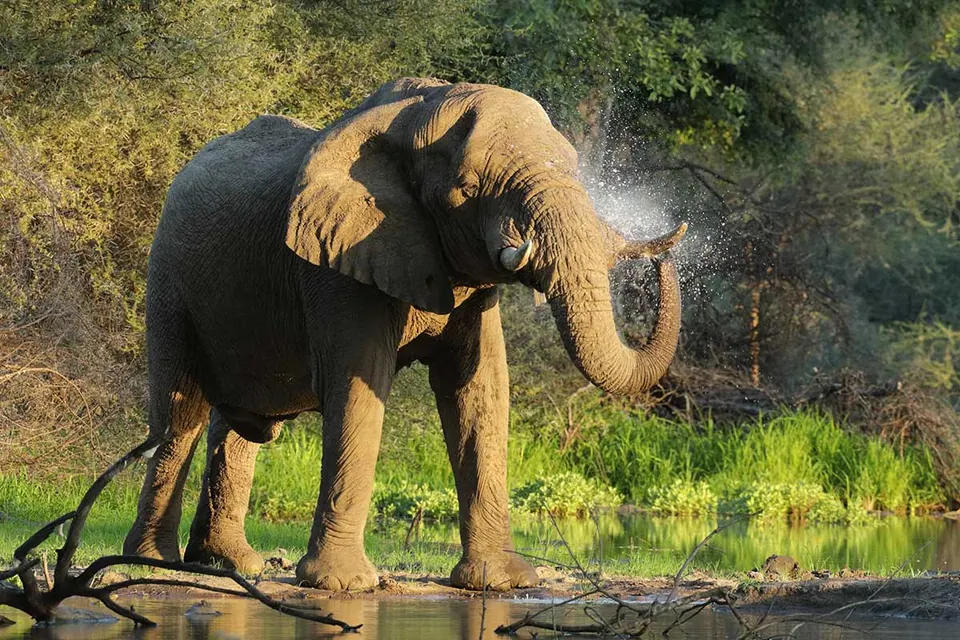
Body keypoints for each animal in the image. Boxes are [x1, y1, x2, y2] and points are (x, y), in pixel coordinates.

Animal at [123, 77, 686, 591]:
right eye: (468, 189)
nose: (665, 258)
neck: (417, 113)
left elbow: (479, 390)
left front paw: (500, 583)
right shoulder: (336, 261)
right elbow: (359, 384)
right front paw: (344, 585)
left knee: (238, 425)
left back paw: (231, 564)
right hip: (168, 278)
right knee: (180, 415)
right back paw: (154, 562)